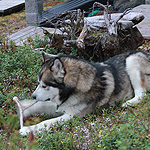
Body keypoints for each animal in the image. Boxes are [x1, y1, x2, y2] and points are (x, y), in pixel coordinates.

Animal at [19, 50, 150, 136]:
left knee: (142, 94)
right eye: (38, 83)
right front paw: (23, 109)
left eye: (44, 86)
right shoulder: (59, 104)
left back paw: (129, 102)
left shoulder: (72, 115)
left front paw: (27, 129)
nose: (33, 96)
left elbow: (47, 122)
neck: (74, 87)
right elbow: (40, 105)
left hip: (131, 60)